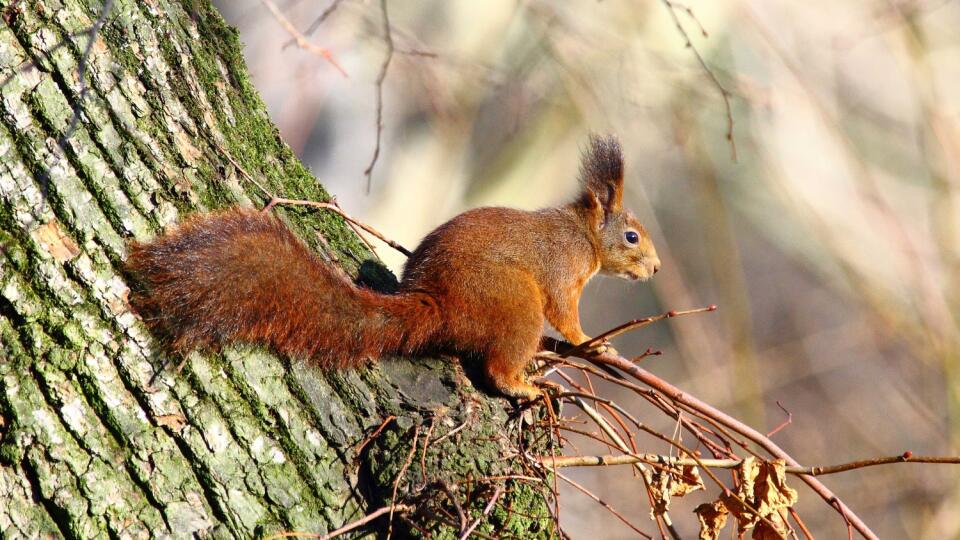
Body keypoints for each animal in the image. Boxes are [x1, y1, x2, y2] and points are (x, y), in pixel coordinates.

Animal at [125, 136, 660, 400]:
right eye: (632, 236)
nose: (655, 269)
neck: (584, 236)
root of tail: (440, 305)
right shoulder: (561, 273)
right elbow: (566, 316)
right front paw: (593, 342)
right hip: (516, 305)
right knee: (497, 367)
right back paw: (524, 386)